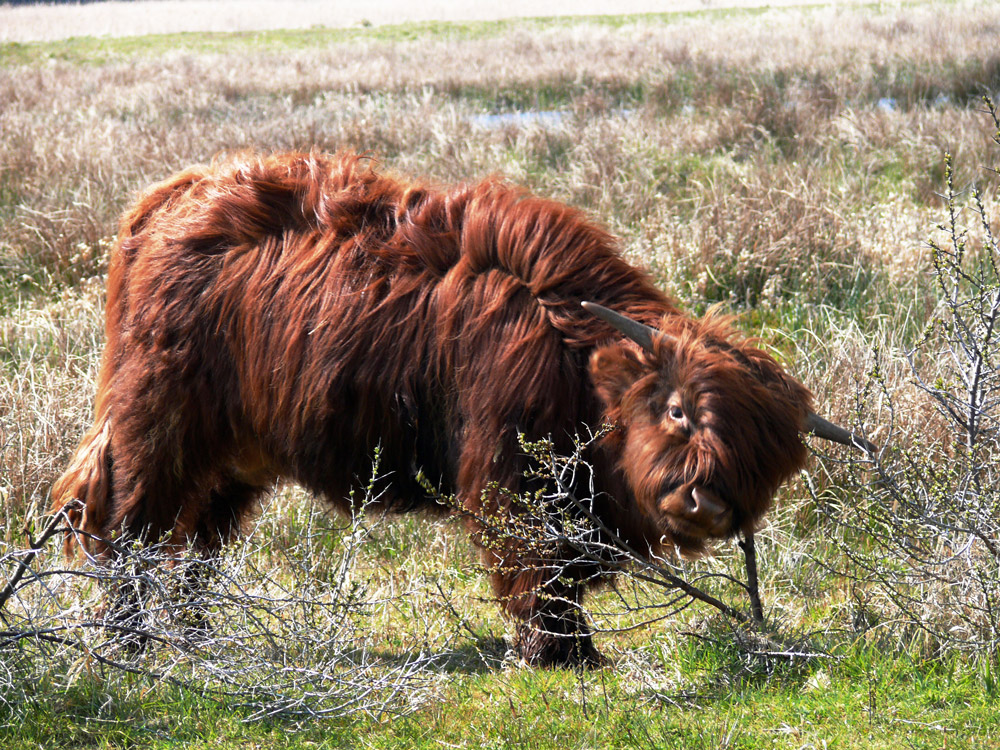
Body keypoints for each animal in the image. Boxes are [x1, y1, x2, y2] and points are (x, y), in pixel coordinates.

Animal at [52, 150, 868, 668]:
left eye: (766, 463)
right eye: (677, 411)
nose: (706, 504)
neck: (572, 356)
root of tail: (168, 199)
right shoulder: (512, 479)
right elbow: (537, 569)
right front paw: (562, 655)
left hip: (235, 457)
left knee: (195, 544)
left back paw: (197, 638)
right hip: (155, 426)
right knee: (128, 527)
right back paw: (128, 641)